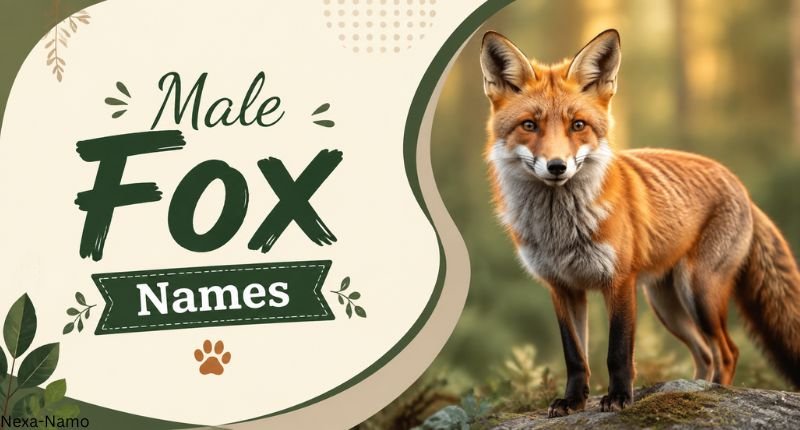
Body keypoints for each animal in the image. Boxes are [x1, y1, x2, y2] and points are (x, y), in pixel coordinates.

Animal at [480, 29, 800, 417]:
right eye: (529, 125)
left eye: (578, 125)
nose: (557, 166)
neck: (560, 230)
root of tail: (742, 188)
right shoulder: (561, 287)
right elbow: (575, 356)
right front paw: (573, 401)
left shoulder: (619, 281)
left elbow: (618, 351)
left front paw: (619, 398)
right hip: (667, 305)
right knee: (705, 354)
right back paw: (694, 391)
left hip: (699, 292)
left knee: (727, 351)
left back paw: (714, 395)